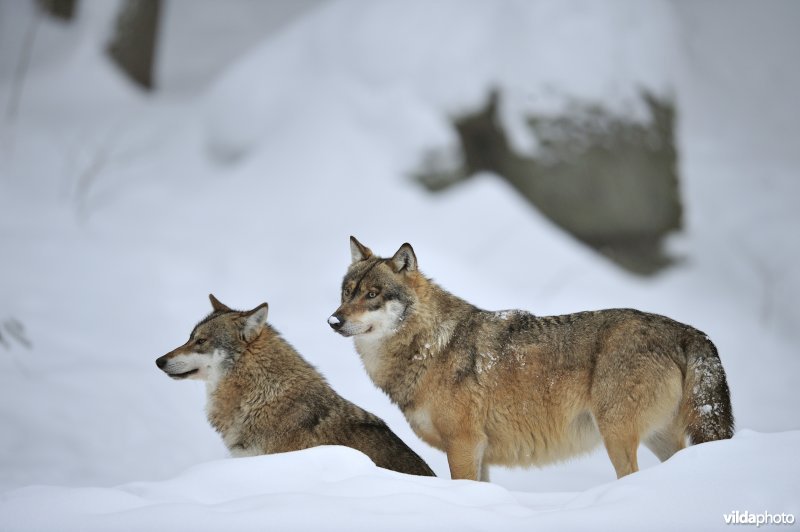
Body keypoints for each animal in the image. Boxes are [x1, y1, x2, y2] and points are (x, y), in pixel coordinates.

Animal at [328, 237, 734, 481]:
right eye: (347, 292)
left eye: (373, 294)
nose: (334, 321)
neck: (429, 346)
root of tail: (687, 331)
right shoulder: (480, 453)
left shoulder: (464, 445)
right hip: (657, 438)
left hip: (618, 436)